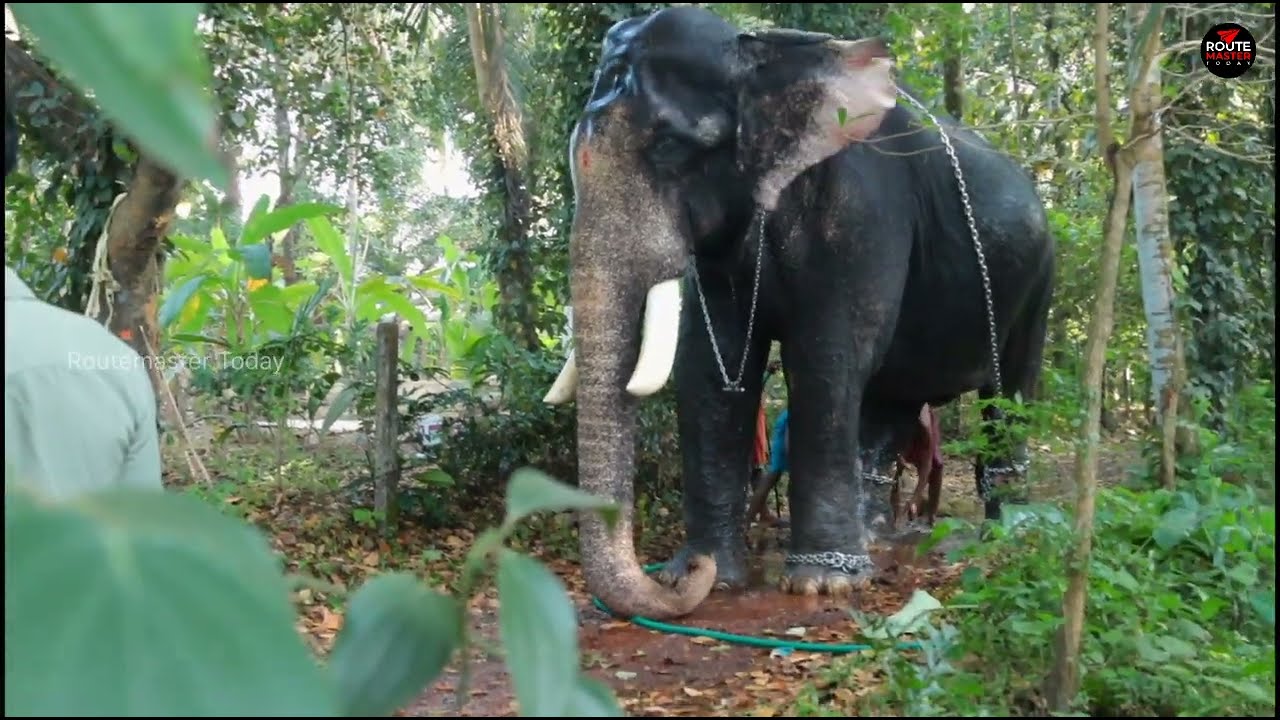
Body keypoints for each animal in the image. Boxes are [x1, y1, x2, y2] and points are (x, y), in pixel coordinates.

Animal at [542, 6, 1055, 620]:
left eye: (668, 146)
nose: (682, 572)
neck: (761, 55)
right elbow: (711, 371)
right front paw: (714, 574)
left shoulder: (862, 210)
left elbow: (825, 359)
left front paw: (819, 586)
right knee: (891, 401)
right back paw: (874, 541)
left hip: (1040, 278)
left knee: (1010, 392)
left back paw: (1007, 533)